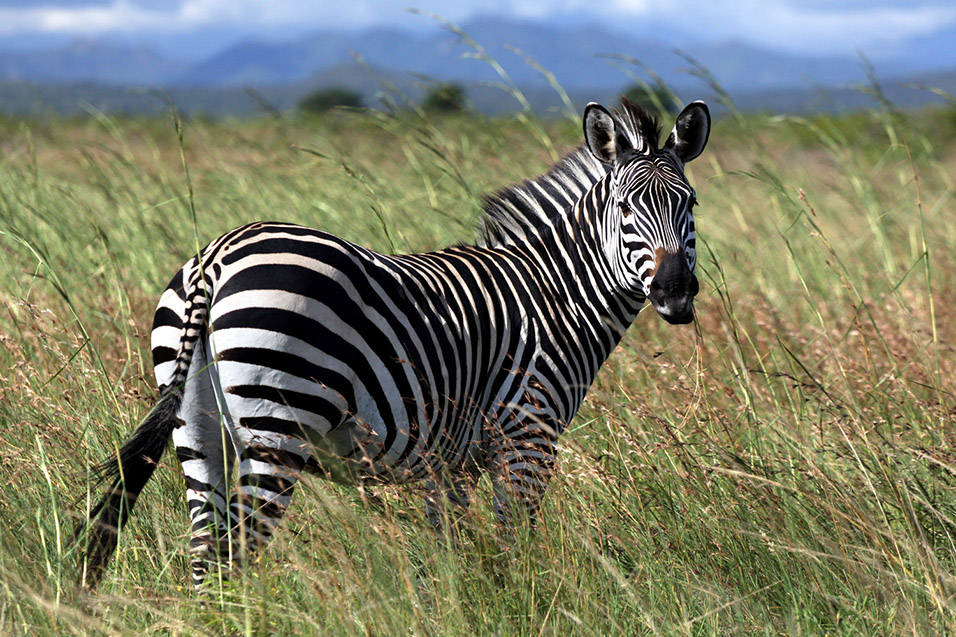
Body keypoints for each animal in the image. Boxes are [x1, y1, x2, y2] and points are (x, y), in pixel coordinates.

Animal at [76, 97, 708, 588]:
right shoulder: (527, 436)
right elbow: (513, 546)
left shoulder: (450, 461)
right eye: (625, 207)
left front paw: (461, 607)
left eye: (692, 205)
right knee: (238, 551)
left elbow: (452, 552)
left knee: (206, 554)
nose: (676, 295)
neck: (552, 291)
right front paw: (521, 606)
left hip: (194, 424)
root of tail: (218, 255)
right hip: (276, 426)